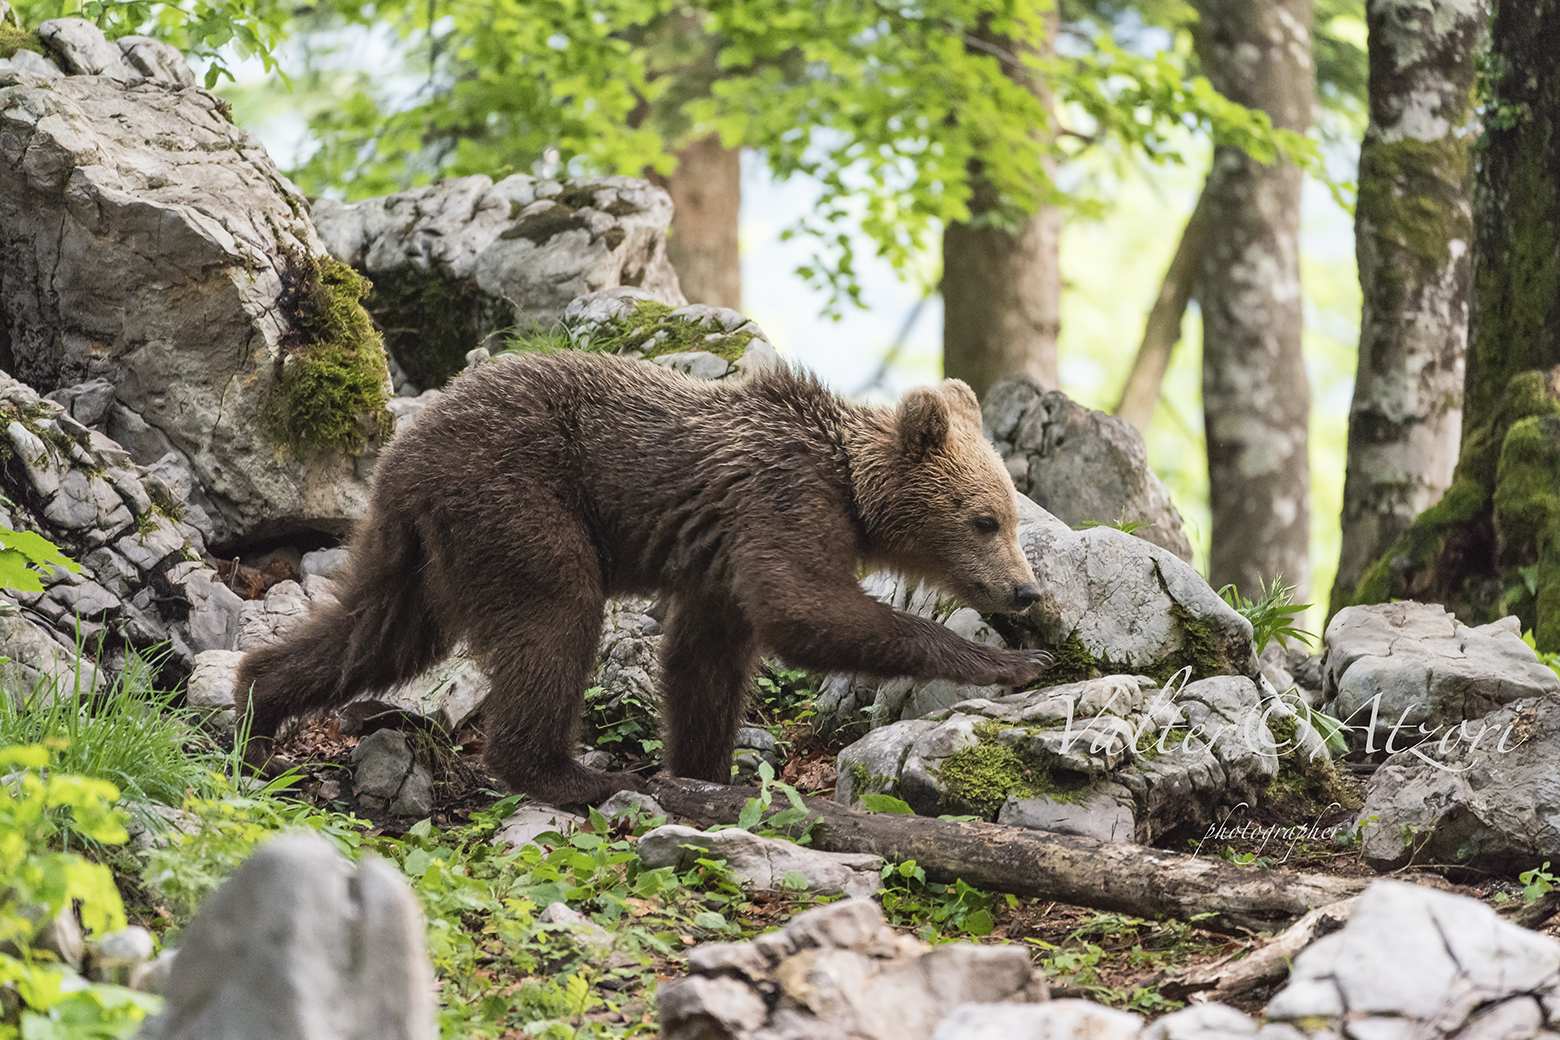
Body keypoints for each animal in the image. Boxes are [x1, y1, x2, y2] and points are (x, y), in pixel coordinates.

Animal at [235, 350, 1052, 804]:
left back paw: (256, 711)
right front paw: (1012, 662)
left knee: (377, 632)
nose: (1026, 591)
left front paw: (707, 770)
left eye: (1012, 515)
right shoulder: (781, 500)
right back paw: (573, 775)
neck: (850, 487)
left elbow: (704, 662)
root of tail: (405, 446)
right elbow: (801, 607)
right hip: (520, 496)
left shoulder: (723, 556)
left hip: (418, 542)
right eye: (986, 520)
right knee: (555, 618)